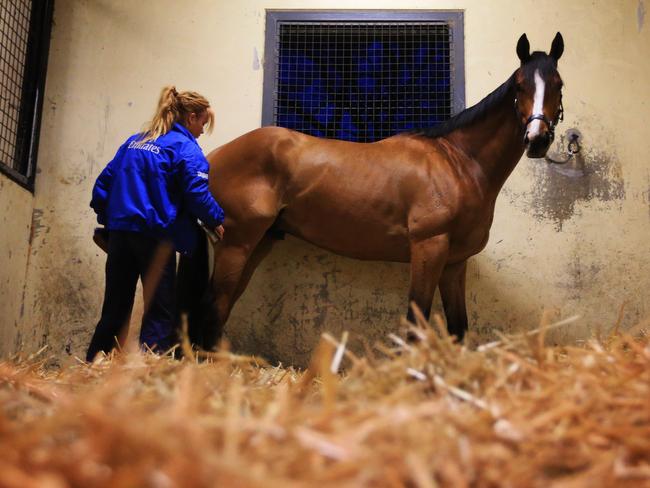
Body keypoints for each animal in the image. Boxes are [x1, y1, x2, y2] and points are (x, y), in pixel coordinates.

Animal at [180, 32, 564, 348]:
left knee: (220, 305)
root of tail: (212, 157)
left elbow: (458, 329)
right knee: (214, 306)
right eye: (519, 86)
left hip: (257, 243)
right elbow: (414, 327)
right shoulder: (429, 249)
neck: (458, 162)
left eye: (558, 84)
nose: (537, 139)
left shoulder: (455, 263)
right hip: (237, 243)